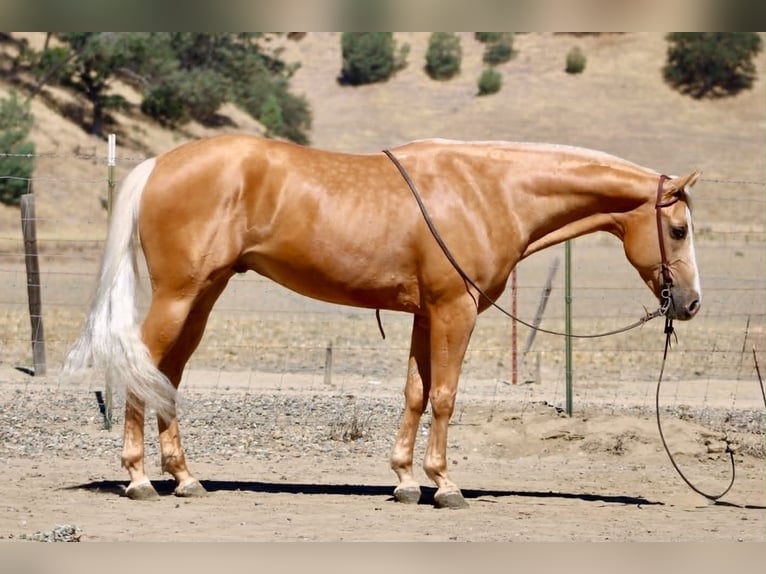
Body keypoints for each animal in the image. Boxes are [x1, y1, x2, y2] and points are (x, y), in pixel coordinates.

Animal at [64, 134, 702, 509]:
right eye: (678, 230)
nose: (691, 303)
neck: (487, 190)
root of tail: (158, 164)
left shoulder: (426, 313)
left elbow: (415, 394)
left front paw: (405, 480)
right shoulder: (454, 311)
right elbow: (444, 396)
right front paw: (445, 485)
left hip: (202, 296)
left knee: (166, 375)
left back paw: (185, 478)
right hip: (181, 295)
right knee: (141, 368)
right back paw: (139, 478)